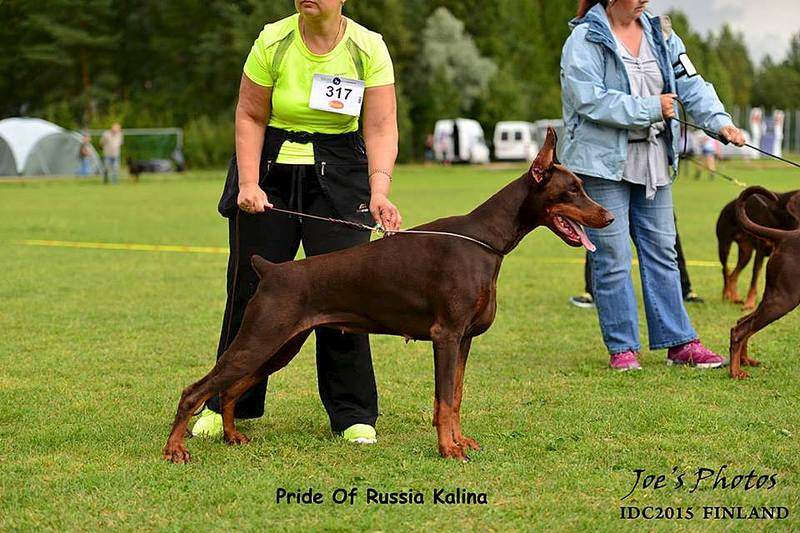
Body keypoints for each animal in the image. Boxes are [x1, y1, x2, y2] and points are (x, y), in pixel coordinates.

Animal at [161, 129, 612, 462]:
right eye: (573, 190)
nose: (608, 216)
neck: (485, 239)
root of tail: (270, 269)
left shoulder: (464, 339)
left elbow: (456, 396)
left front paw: (459, 442)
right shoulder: (446, 336)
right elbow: (443, 399)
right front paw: (448, 450)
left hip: (280, 345)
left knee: (230, 389)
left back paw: (232, 436)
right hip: (260, 336)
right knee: (196, 390)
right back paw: (174, 449)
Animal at [728, 187, 800, 378]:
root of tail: (785, 237)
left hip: (775, 294)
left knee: (742, 322)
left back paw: (745, 360)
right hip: (784, 298)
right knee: (740, 330)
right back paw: (735, 372)